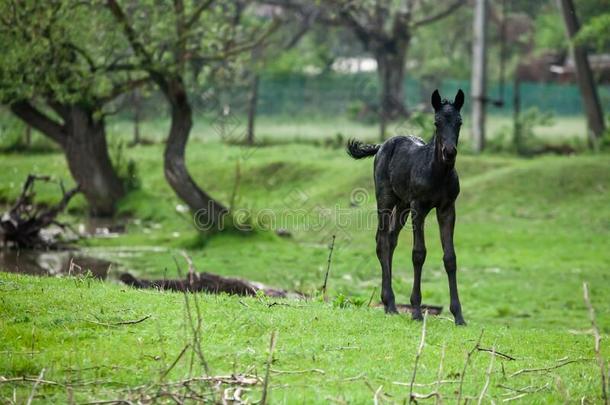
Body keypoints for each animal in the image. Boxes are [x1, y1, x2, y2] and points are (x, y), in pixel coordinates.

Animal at [346, 89, 466, 326]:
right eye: (437, 122)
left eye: (459, 122)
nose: (449, 152)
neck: (437, 172)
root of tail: (382, 145)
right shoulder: (418, 207)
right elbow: (418, 253)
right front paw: (416, 311)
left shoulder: (447, 208)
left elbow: (450, 257)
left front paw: (458, 316)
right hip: (385, 198)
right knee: (382, 240)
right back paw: (390, 303)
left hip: (402, 204)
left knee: (391, 238)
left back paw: (388, 304)